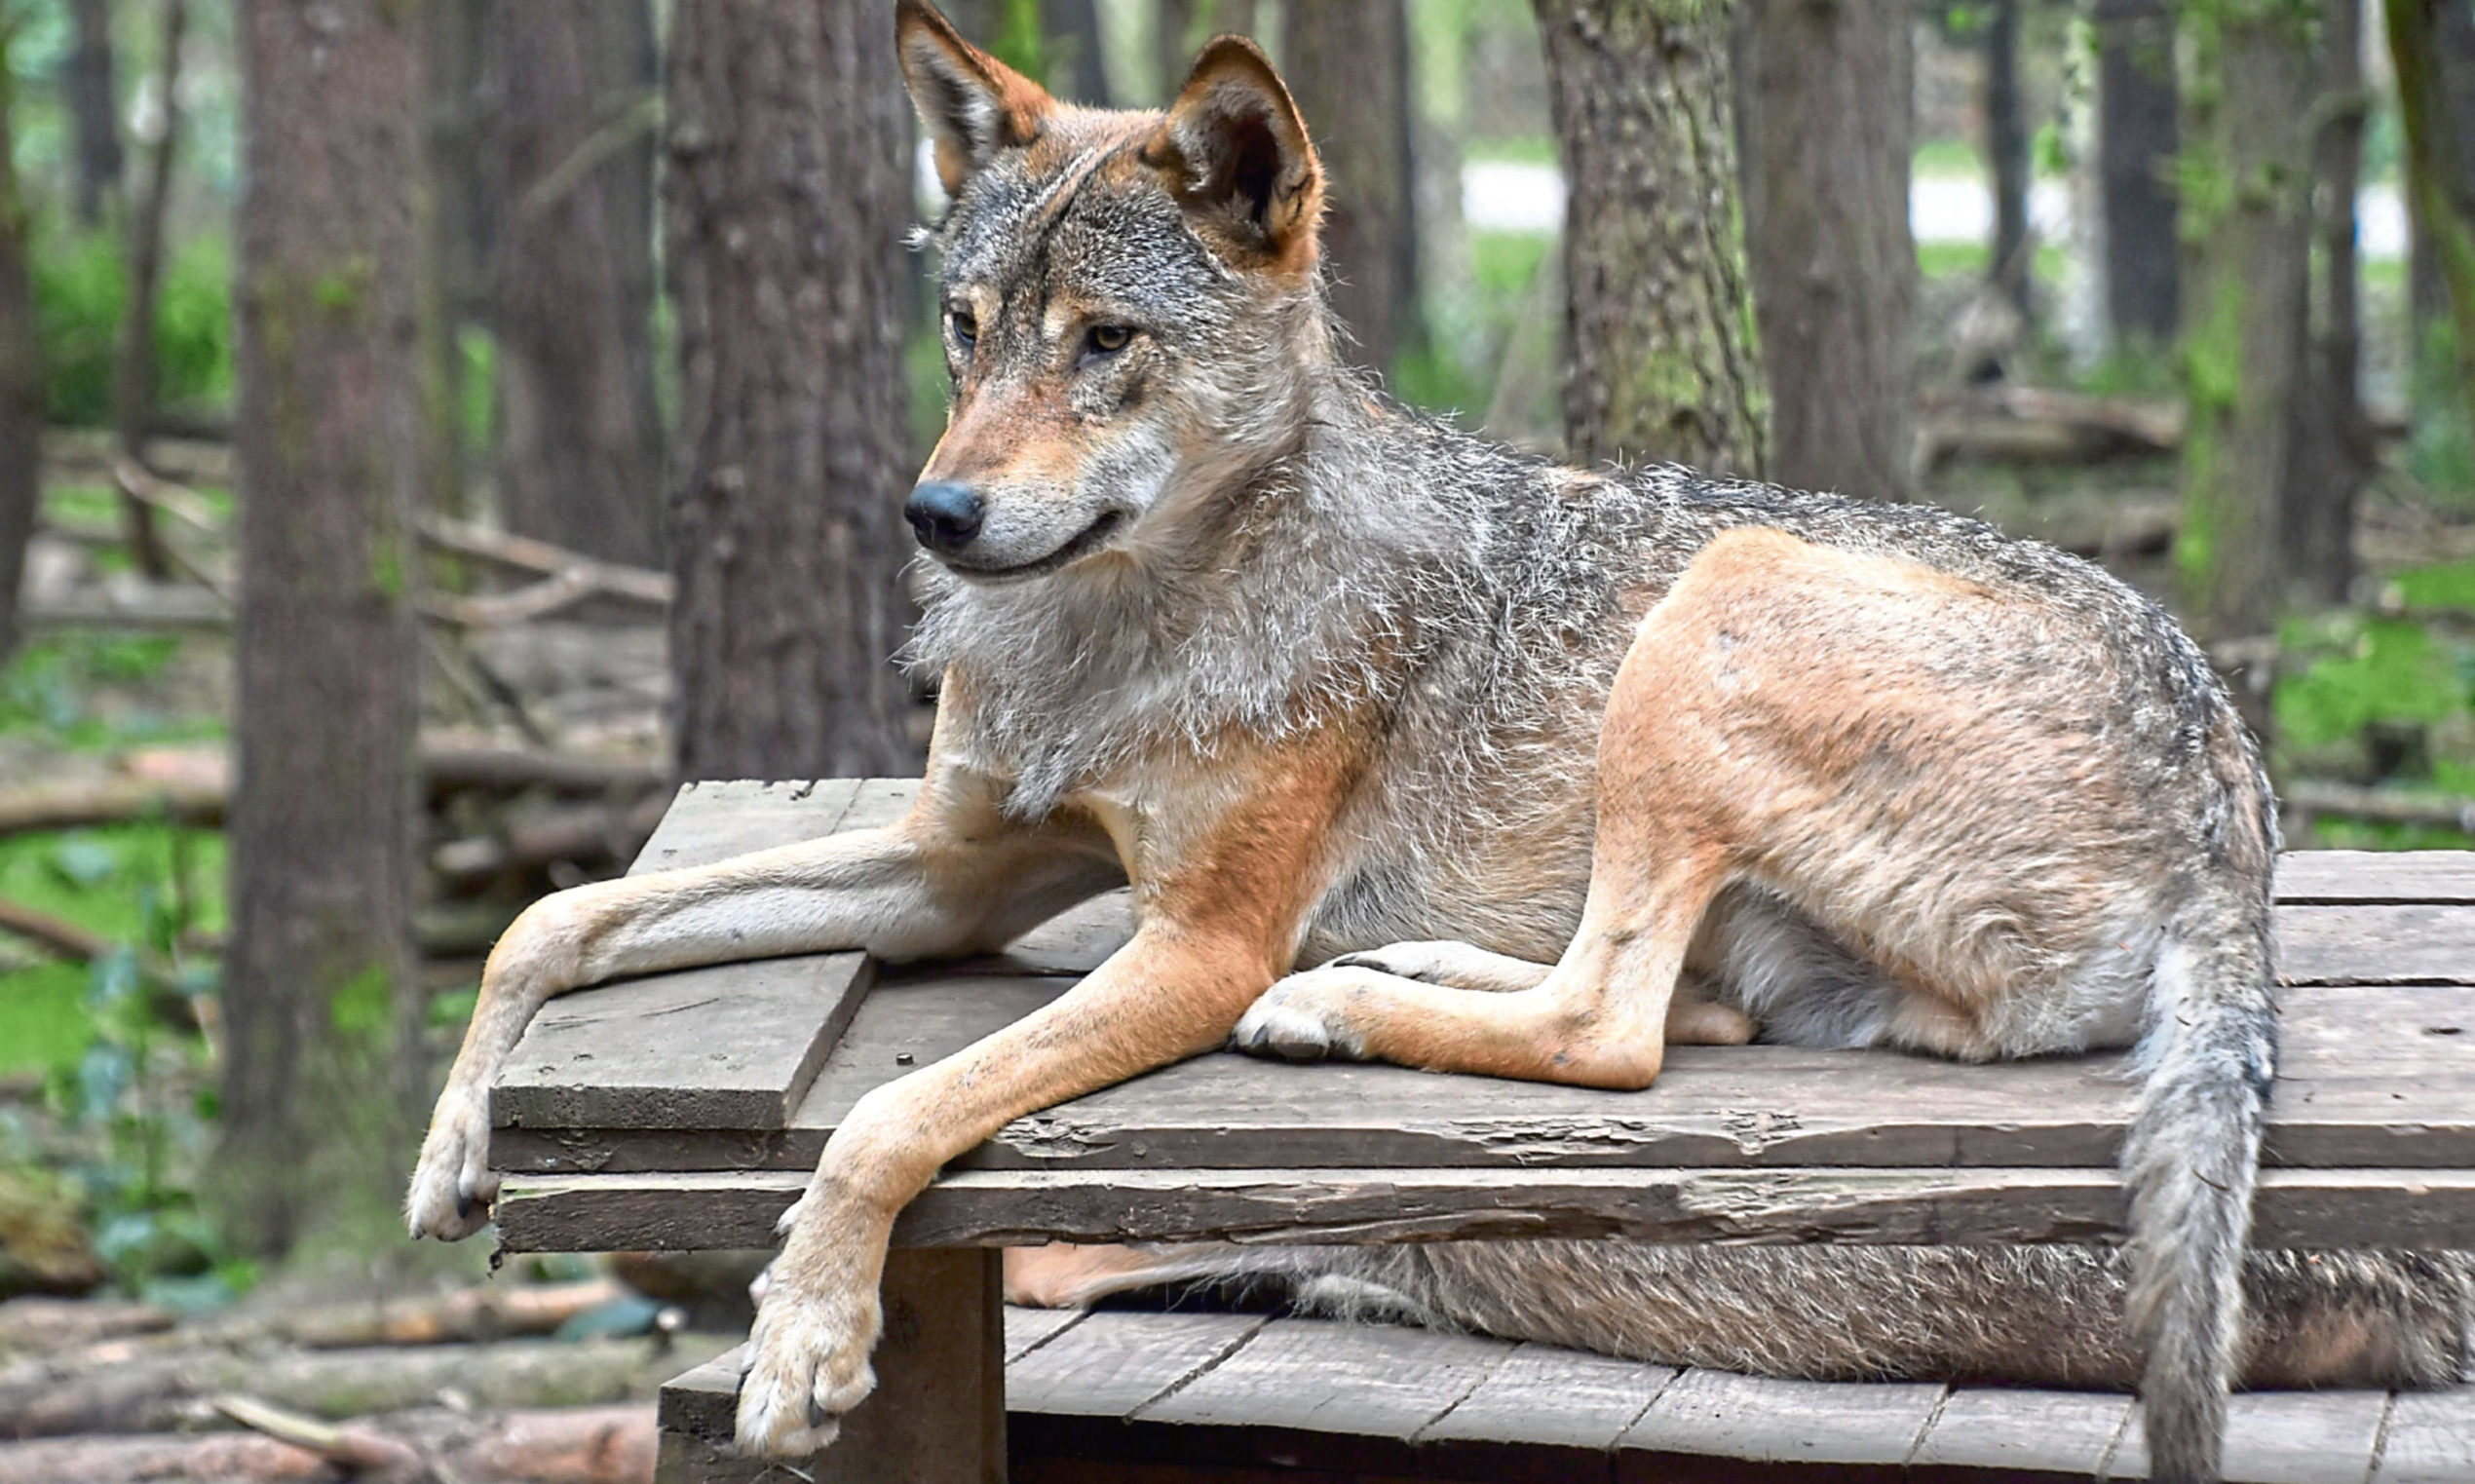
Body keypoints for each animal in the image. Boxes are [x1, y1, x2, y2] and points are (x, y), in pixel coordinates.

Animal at [404, 5, 2471, 1479]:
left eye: (1107, 344)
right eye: (969, 328)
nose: (936, 513)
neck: (1127, 622)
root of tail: (2239, 809)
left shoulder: (1189, 938)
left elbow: (890, 1116)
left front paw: (806, 1333)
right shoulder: (953, 872)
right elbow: (558, 915)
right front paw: (453, 1152)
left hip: (1710, 605)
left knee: (1616, 1029)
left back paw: (1338, 1001)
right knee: (1665, 1008)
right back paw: (1387, 974)